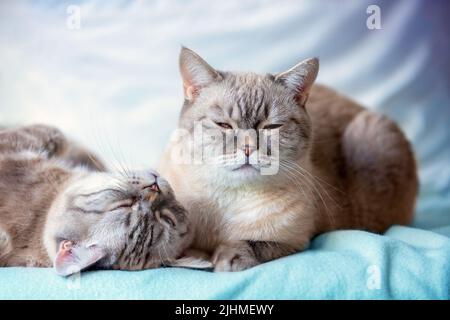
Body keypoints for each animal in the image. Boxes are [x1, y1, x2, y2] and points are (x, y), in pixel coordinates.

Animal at [158, 47, 418, 272]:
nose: (248, 148)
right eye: (224, 125)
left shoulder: (294, 240)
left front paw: (225, 257)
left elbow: (253, 244)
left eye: (271, 127)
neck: (228, 200)